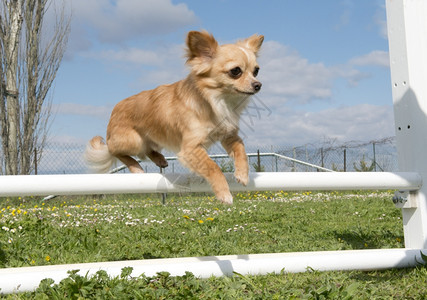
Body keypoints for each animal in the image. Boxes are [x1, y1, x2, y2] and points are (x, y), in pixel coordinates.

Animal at [84, 31, 264, 204]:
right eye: (235, 71)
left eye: (256, 71)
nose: (258, 85)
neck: (218, 101)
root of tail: (114, 110)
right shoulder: (190, 149)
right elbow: (213, 167)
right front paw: (224, 194)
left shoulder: (228, 135)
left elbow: (241, 150)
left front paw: (242, 174)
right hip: (133, 140)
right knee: (114, 150)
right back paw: (135, 167)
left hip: (153, 137)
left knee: (147, 149)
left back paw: (159, 159)